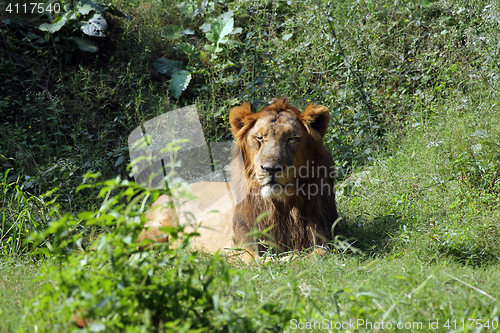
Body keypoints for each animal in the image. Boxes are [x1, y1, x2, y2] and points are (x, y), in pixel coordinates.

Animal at [139, 97, 338, 260]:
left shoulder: (322, 235)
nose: (270, 169)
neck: (282, 205)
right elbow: (260, 261)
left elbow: (320, 254)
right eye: (259, 138)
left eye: (292, 139)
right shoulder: (244, 244)